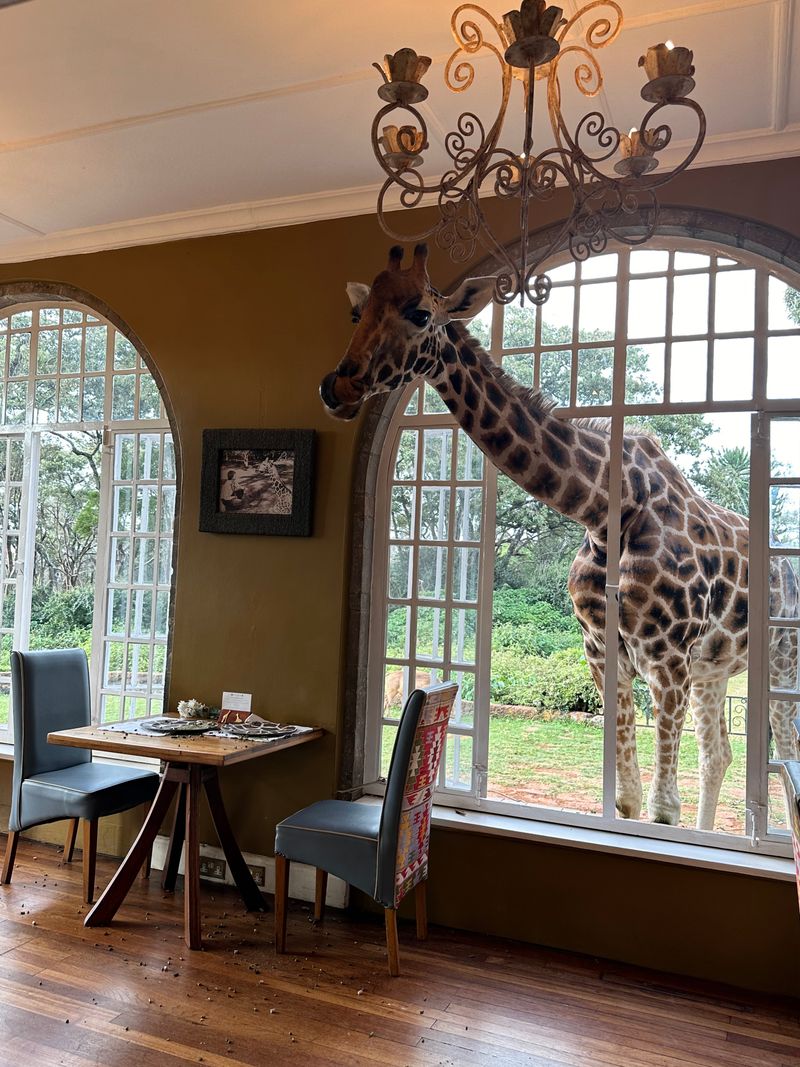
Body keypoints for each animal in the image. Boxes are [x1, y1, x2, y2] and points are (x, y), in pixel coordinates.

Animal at [320, 244, 799, 830]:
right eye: (356, 314)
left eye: (421, 313)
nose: (336, 387)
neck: (608, 511)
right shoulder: (604, 655)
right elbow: (628, 798)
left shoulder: (666, 660)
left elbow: (663, 810)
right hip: (714, 668)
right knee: (718, 754)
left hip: (780, 657)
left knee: (784, 746)